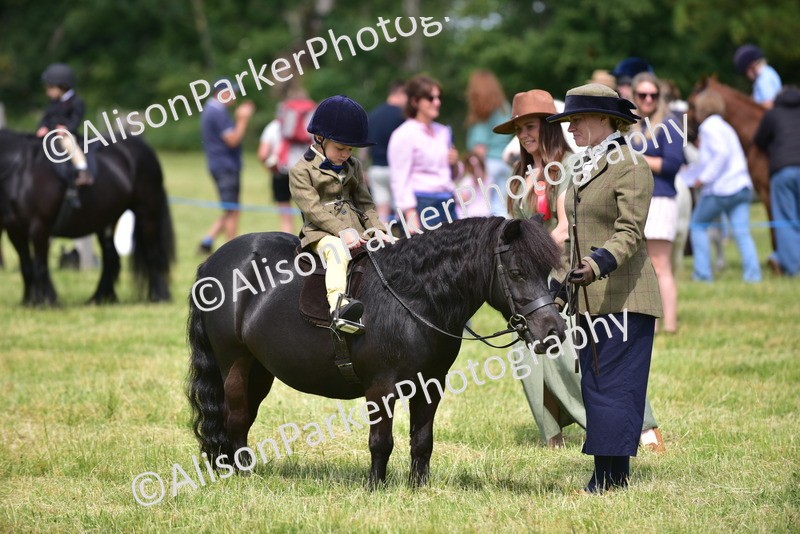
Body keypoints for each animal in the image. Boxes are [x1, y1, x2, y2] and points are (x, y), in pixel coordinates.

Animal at [0, 130, 174, 305]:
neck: (21, 171)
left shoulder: (39, 227)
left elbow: (40, 265)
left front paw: (48, 301)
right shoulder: (15, 231)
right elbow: (27, 266)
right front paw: (28, 301)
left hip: (147, 214)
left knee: (152, 253)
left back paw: (158, 296)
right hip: (107, 221)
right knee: (111, 257)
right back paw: (101, 297)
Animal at [187, 217, 566, 487]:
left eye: (547, 270)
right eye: (517, 272)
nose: (554, 332)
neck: (413, 297)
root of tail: (213, 263)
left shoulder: (430, 385)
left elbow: (422, 439)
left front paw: (418, 486)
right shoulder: (381, 388)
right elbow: (381, 440)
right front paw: (375, 486)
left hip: (260, 369)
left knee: (243, 416)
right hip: (234, 362)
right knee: (235, 416)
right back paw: (242, 475)